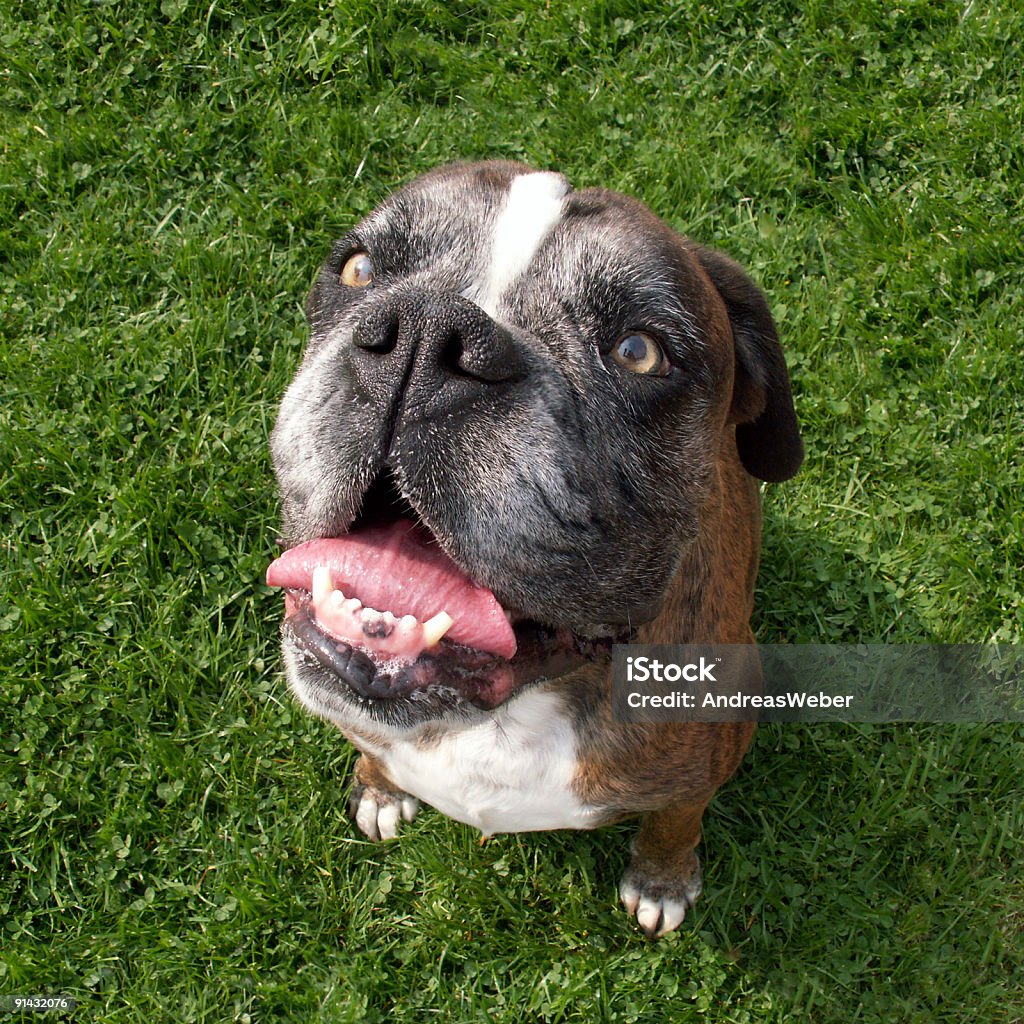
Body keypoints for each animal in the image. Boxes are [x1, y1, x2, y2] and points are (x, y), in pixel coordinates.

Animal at [268, 161, 802, 937]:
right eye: (359, 269)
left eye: (639, 352)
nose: (426, 332)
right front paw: (378, 788)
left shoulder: (702, 767)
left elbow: (675, 823)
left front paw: (663, 880)